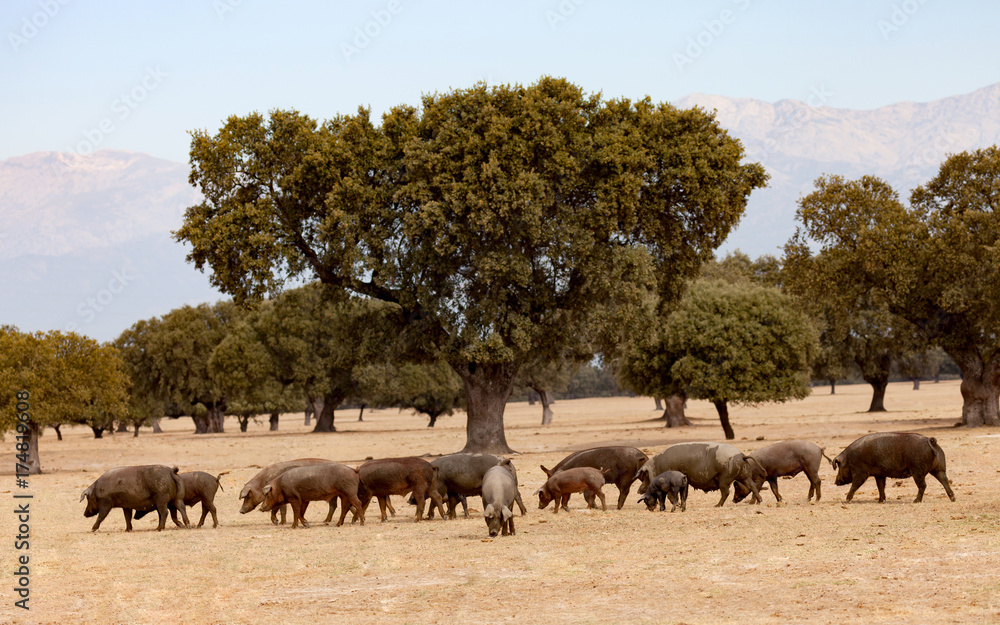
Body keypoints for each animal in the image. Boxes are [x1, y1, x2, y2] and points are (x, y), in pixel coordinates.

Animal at [636, 442, 764, 507]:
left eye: (645, 476)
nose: (638, 490)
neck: (657, 468)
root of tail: (741, 455)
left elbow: (671, 496)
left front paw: (677, 505)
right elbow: (683, 494)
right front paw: (680, 505)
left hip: (725, 478)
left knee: (726, 492)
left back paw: (717, 505)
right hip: (743, 475)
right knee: (752, 486)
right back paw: (760, 501)